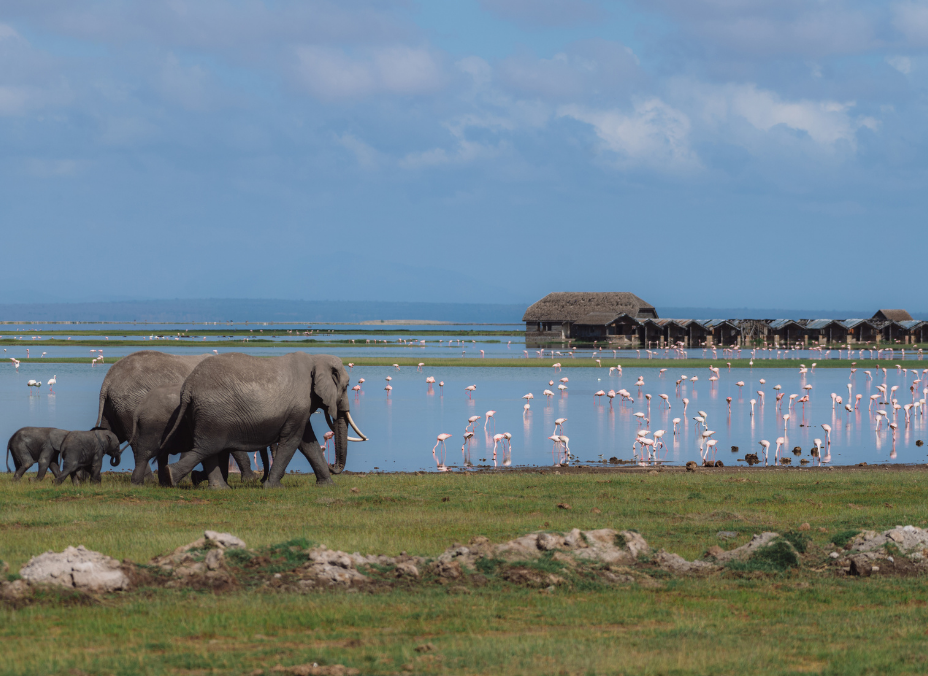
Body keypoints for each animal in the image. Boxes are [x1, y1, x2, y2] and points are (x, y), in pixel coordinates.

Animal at [95, 352, 258, 484]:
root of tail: (108, 380)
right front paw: (250, 479)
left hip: (113, 406)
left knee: (109, 431)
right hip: (129, 404)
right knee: (136, 442)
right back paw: (149, 479)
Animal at [160, 352, 366, 488]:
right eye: (346, 386)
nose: (333, 467)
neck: (316, 359)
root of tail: (188, 387)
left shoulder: (301, 408)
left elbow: (308, 443)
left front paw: (327, 485)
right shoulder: (299, 404)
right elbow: (293, 441)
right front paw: (273, 487)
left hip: (200, 413)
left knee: (206, 449)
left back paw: (213, 487)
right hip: (213, 414)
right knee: (208, 447)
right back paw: (173, 477)